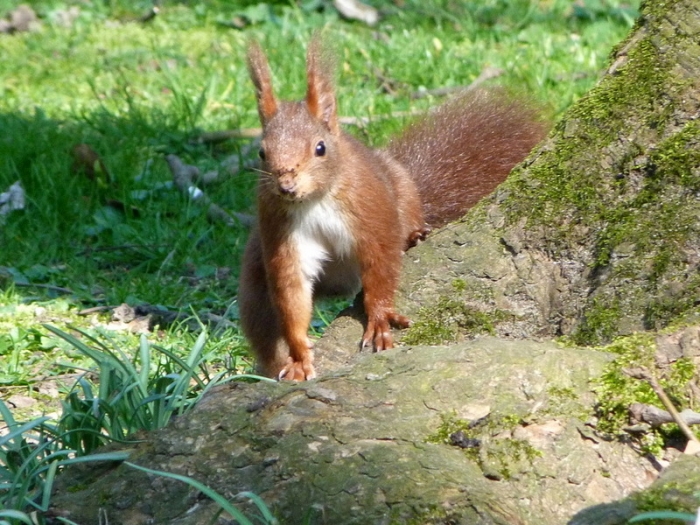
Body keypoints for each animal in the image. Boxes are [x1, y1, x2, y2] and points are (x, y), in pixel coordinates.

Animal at [238, 37, 548, 381]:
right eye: (262, 153)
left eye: (320, 148)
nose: (286, 185)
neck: (314, 201)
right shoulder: (280, 227)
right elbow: (291, 289)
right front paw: (299, 354)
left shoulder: (370, 208)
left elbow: (381, 263)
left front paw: (380, 317)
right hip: (256, 281)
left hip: (401, 186)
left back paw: (414, 235)